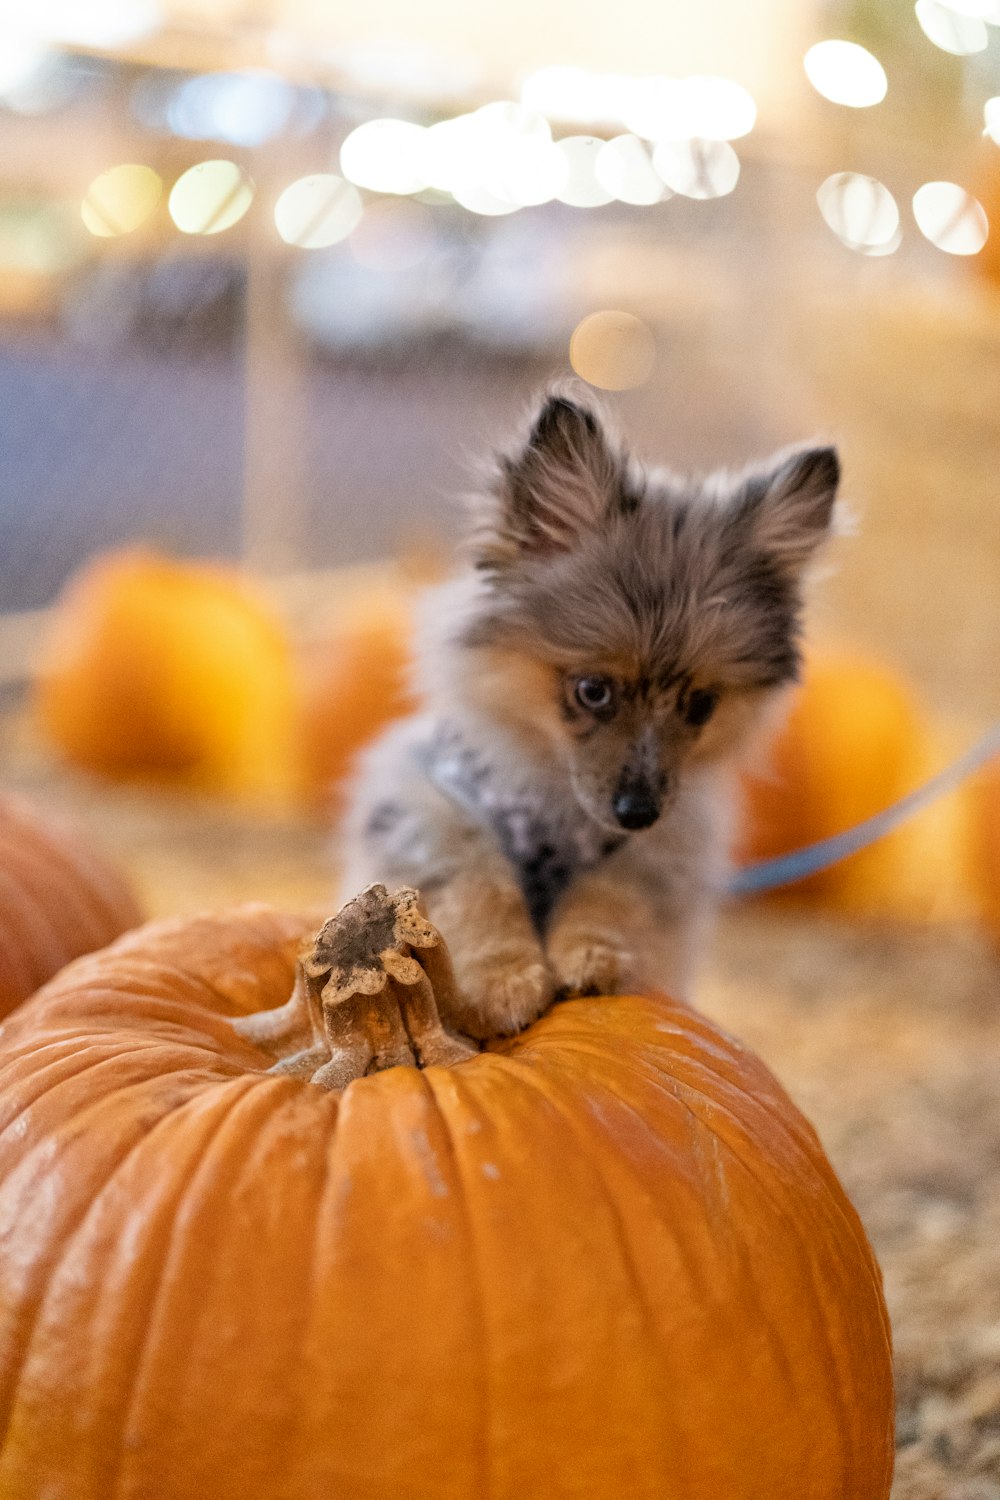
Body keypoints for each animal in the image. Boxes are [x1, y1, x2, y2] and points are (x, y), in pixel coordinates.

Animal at [340, 393, 839, 1038]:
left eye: (701, 705)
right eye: (593, 691)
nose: (638, 811)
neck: (560, 809)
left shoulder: (664, 846)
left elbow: (613, 892)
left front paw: (594, 955)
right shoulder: (426, 804)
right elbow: (476, 881)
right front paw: (503, 980)